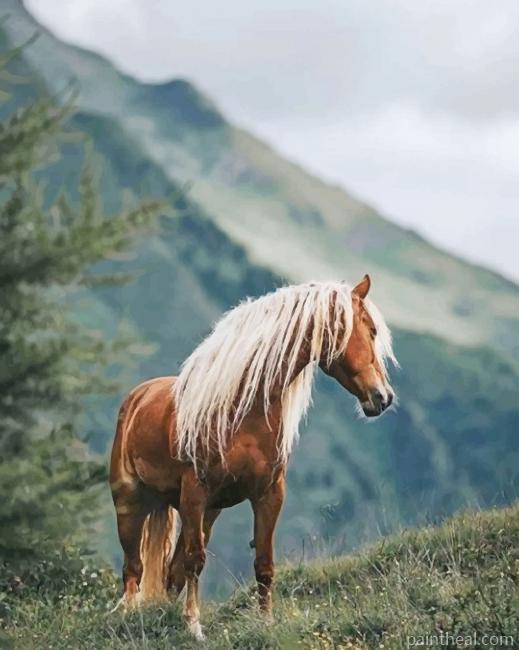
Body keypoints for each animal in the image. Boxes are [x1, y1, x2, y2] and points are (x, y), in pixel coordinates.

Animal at [109, 274, 396, 639]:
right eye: (370, 330)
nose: (384, 397)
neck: (242, 411)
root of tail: (138, 396)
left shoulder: (269, 494)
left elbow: (263, 562)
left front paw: (266, 622)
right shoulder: (195, 492)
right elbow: (195, 560)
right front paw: (194, 626)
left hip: (205, 512)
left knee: (170, 572)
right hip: (131, 502)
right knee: (133, 570)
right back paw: (129, 616)